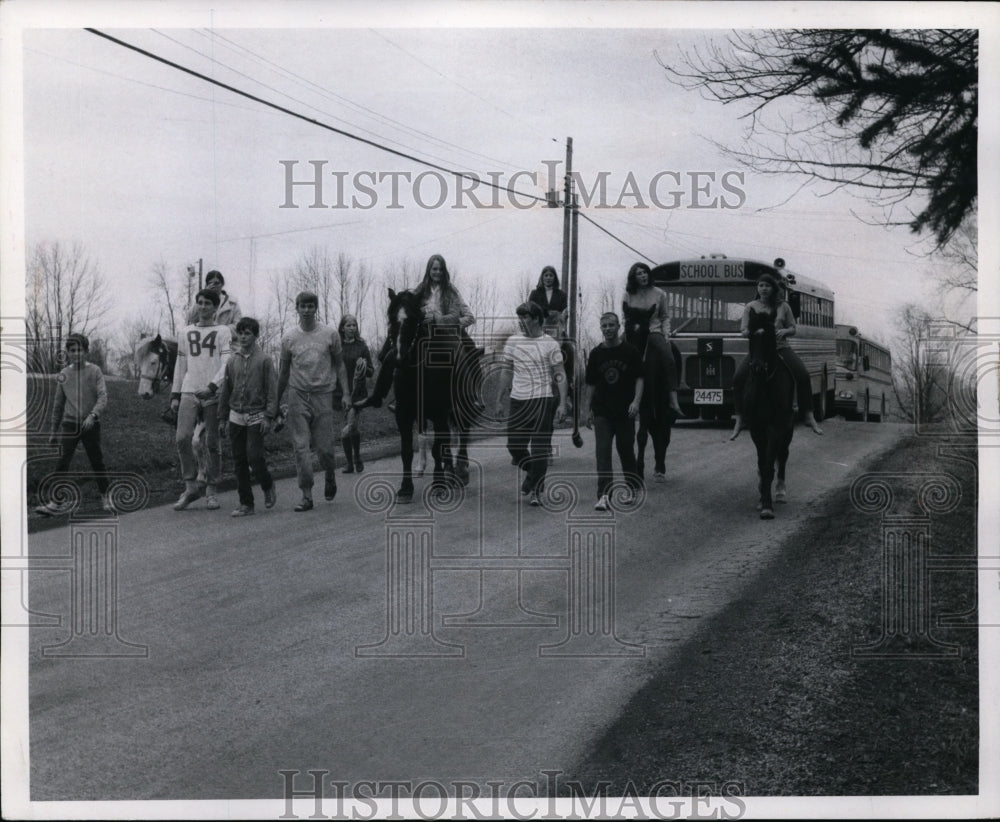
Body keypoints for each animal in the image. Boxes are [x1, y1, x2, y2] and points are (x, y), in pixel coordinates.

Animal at [378, 290, 472, 508]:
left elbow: (437, 448)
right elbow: (406, 451)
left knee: (462, 433)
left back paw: (460, 472)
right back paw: (450, 471)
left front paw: (438, 484)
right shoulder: (404, 415)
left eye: (414, 319)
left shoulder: (438, 413)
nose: (399, 359)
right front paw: (405, 489)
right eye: (391, 319)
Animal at [620, 302, 684, 482]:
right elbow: (629, 437)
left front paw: (639, 472)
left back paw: (660, 468)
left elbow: (641, 436)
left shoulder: (646, 404)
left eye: (645, 331)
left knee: (664, 431)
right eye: (627, 327)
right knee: (657, 432)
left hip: (663, 403)